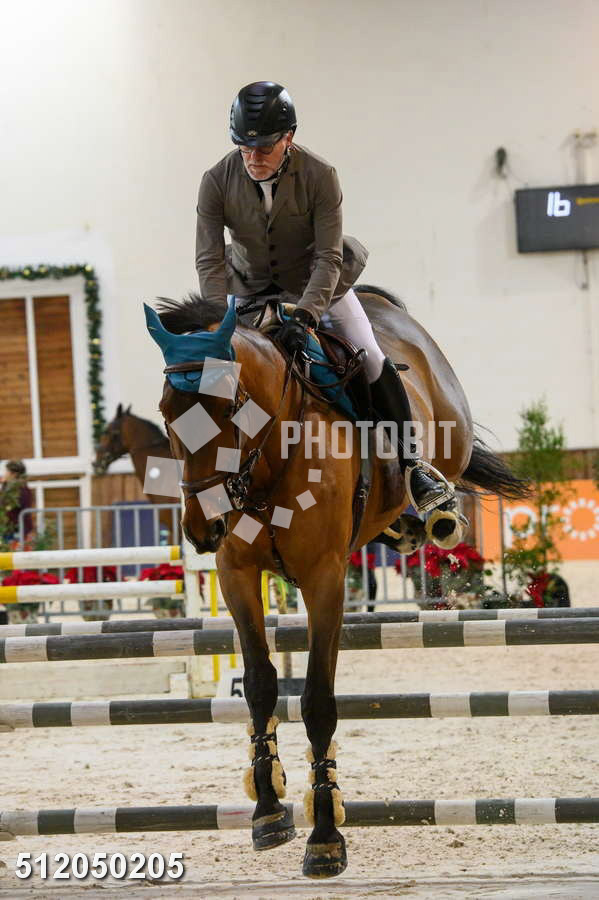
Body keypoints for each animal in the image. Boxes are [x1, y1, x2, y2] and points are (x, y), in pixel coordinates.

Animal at [145, 286, 529, 879]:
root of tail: (382, 304)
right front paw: (268, 809)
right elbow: (260, 685)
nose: (201, 527)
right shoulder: (236, 575)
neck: (271, 456)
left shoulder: (325, 578)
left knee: (438, 470)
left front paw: (325, 835)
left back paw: (433, 508)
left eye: (230, 409)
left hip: (445, 435)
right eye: (167, 413)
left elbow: (317, 702)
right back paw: (403, 527)